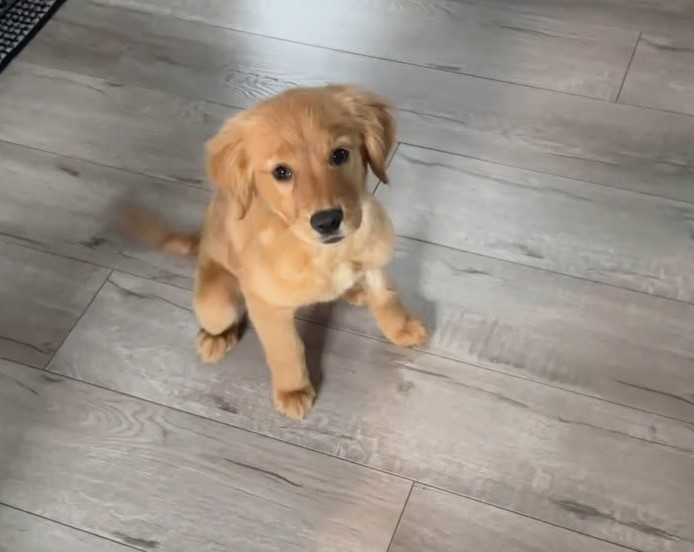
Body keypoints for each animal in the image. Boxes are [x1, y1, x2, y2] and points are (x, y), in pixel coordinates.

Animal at [125, 85, 430, 418]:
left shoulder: (375, 257)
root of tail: (202, 240)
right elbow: (285, 348)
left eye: (340, 154)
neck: (324, 253)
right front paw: (293, 389)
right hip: (216, 302)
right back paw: (217, 337)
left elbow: (387, 297)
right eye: (281, 172)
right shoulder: (266, 305)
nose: (327, 221)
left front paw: (400, 327)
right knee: (222, 316)